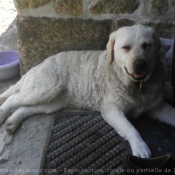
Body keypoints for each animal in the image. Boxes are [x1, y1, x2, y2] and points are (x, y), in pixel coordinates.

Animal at [0, 25, 175, 159]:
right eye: (125, 48)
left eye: (147, 45)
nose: (140, 64)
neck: (138, 87)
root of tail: (37, 65)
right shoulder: (111, 110)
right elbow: (131, 128)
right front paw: (140, 146)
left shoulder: (157, 107)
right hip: (46, 88)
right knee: (12, 99)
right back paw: (3, 115)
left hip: (53, 101)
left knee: (25, 107)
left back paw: (12, 122)